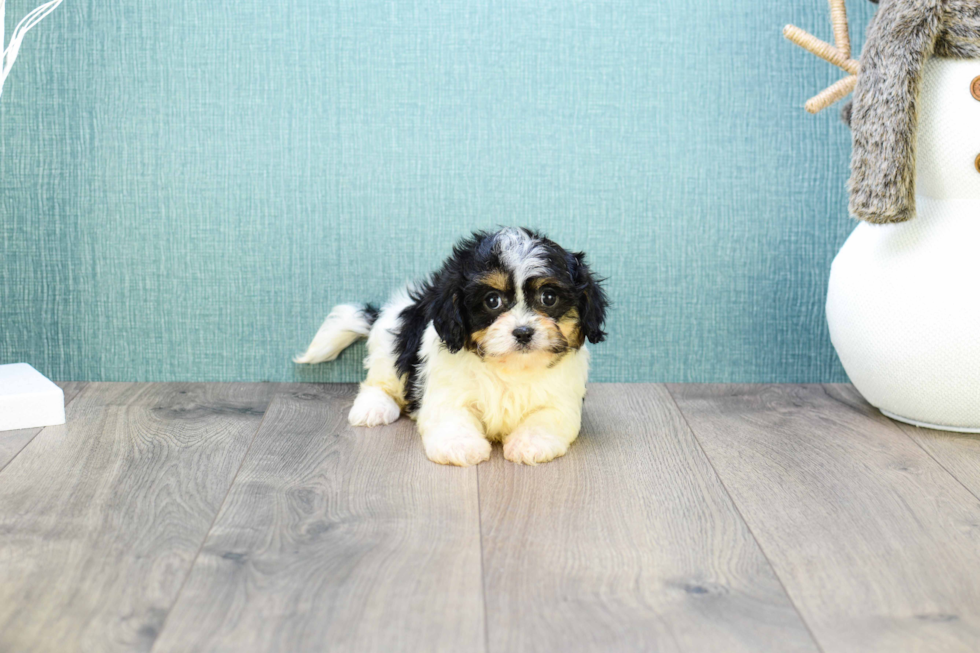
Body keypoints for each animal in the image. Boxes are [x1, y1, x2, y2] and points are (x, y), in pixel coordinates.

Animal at [294, 228, 608, 464]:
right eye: (492, 301)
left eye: (549, 297)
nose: (523, 332)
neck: (510, 368)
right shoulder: (447, 392)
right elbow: (452, 417)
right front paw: (461, 447)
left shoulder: (561, 399)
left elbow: (547, 418)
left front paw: (529, 444)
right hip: (391, 346)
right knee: (380, 381)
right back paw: (374, 408)